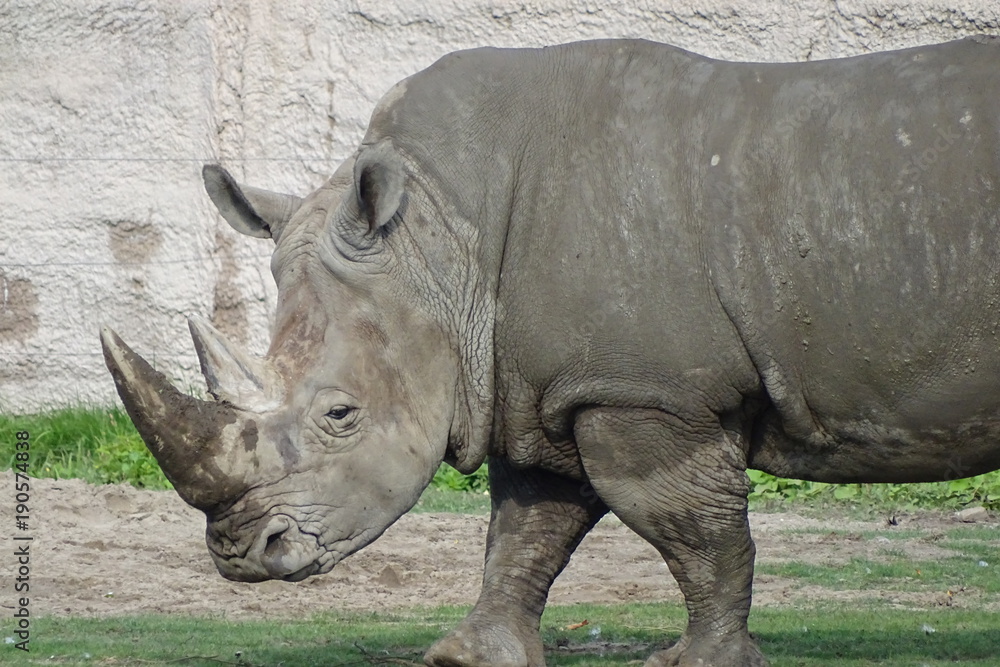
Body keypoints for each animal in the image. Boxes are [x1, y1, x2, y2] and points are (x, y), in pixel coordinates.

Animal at [101, 36, 1000, 666]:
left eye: (341, 415)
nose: (242, 555)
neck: (438, 245)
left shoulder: (643, 390)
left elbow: (695, 529)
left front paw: (701, 659)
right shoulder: (540, 383)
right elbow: (528, 526)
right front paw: (467, 654)